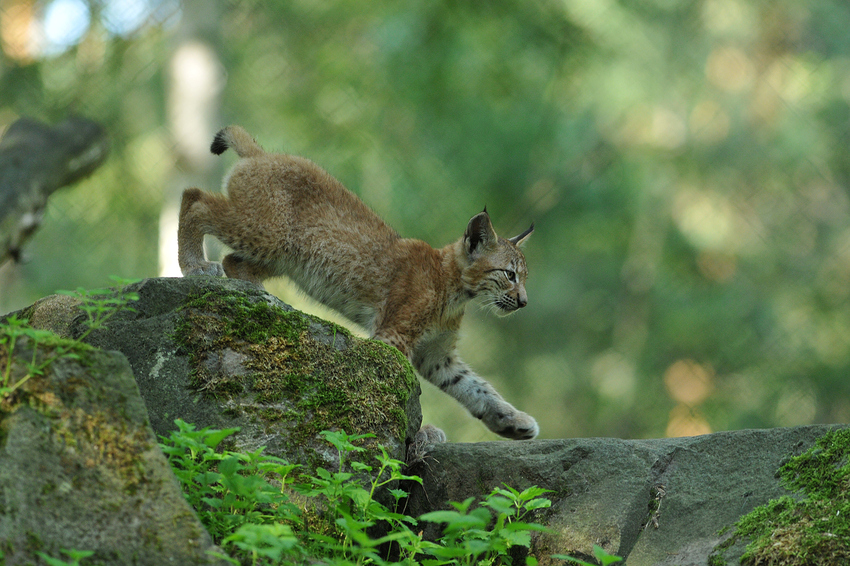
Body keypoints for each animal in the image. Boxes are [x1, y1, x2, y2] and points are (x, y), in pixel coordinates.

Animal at [178, 126, 536, 442]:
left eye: (524, 277)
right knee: (195, 198)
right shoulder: (393, 336)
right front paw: (417, 433)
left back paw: (260, 296)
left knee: (232, 260)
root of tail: (264, 154)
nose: (523, 302)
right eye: (509, 275)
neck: (458, 291)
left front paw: (512, 421)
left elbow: (476, 388)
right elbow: (399, 386)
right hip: (267, 232)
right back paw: (194, 265)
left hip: (278, 253)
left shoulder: (437, 356)